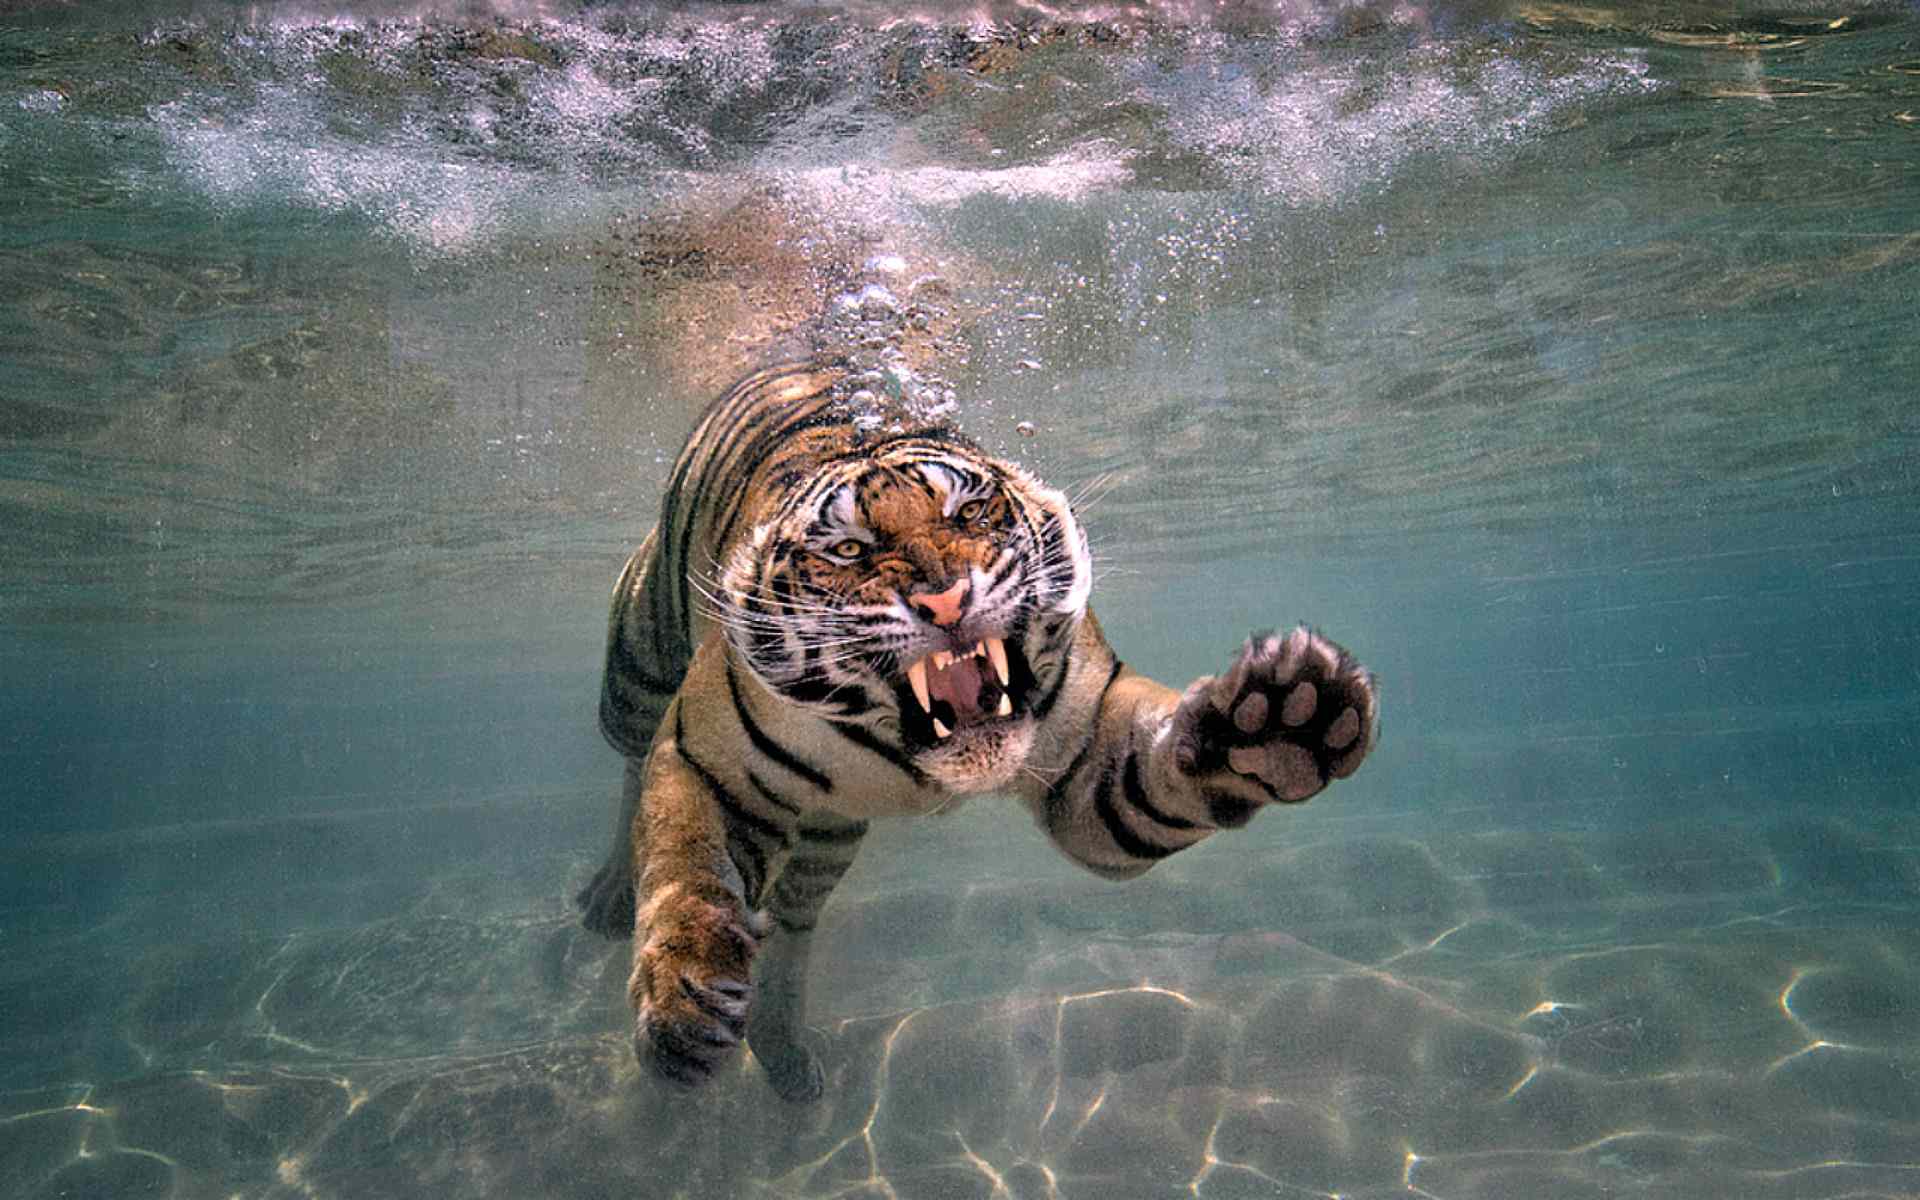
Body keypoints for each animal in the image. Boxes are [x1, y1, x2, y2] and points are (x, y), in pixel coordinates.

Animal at [575, 362, 1378, 1102]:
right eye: (849, 550)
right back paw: (611, 898)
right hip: (638, 666)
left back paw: (787, 1055)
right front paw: (683, 1001)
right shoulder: (702, 758)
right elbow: (686, 867)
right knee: (630, 765)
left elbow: (1159, 777)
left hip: (831, 834)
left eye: (968, 513)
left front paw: (1282, 722)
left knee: (796, 920)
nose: (944, 599)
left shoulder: (1088, 762)